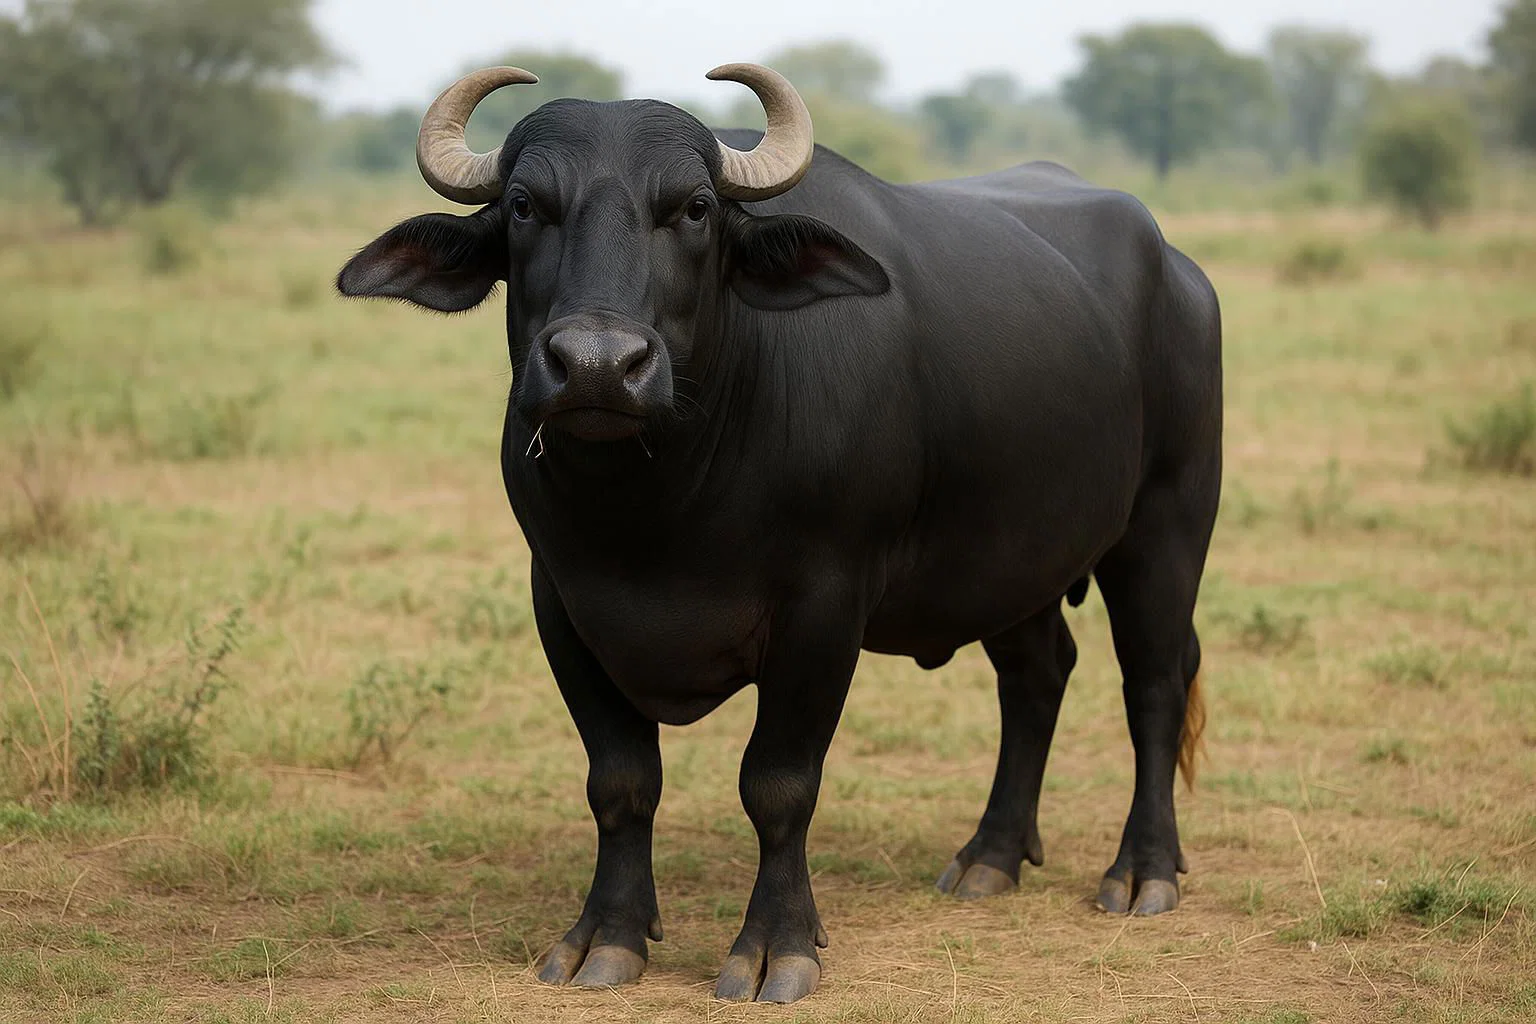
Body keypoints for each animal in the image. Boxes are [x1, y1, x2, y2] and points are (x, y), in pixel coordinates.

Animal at [338, 62, 1221, 1003]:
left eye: (693, 207)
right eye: (523, 205)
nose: (598, 368)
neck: (659, 505)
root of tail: (1181, 273)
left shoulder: (823, 611)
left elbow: (779, 784)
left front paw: (775, 948)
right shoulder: (563, 604)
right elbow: (620, 781)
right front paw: (604, 936)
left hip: (1168, 525)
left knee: (1153, 683)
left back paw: (1143, 870)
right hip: (1012, 561)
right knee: (1037, 677)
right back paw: (991, 855)